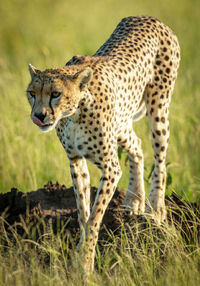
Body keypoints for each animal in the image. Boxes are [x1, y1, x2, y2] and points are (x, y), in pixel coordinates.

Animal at [25, 15, 180, 272]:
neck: (74, 113)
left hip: (159, 107)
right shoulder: (76, 160)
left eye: (55, 94)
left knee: (160, 158)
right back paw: (133, 200)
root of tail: (149, 18)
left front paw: (86, 262)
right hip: (122, 123)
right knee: (137, 146)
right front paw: (79, 252)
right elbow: (83, 212)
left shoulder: (110, 167)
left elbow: (95, 216)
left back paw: (155, 207)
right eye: (32, 93)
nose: (39, 116)